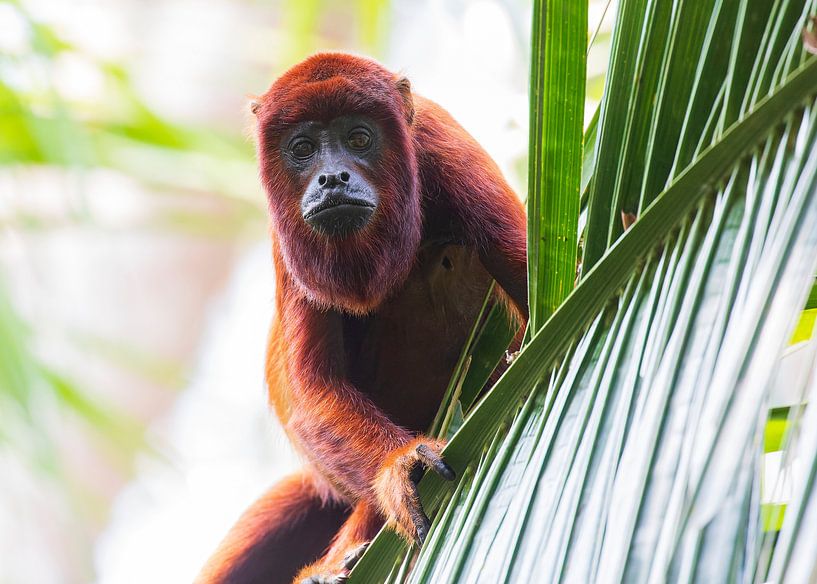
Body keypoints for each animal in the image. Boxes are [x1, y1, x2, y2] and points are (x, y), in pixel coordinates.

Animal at [198, 53, 528, 584]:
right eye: (302, 149)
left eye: (358, 138)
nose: (332, 179)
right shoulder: (285, 240)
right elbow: (314, 391)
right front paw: (398, 467)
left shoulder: (446, 150)